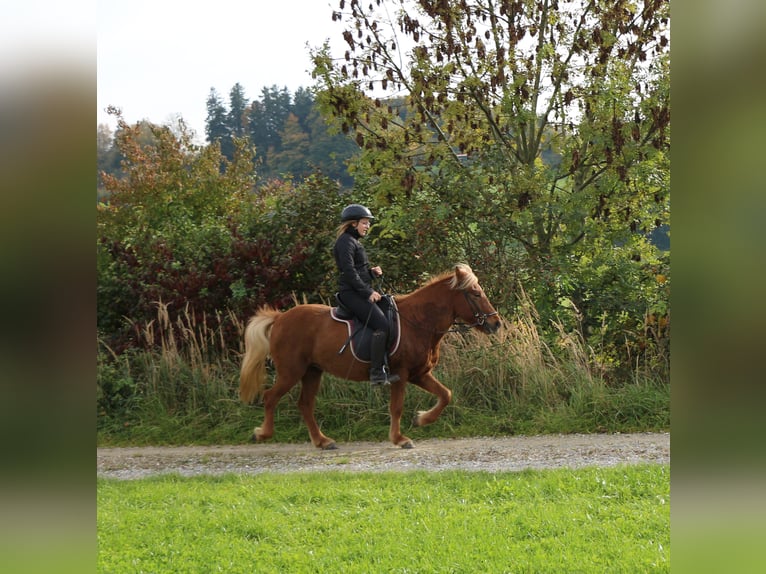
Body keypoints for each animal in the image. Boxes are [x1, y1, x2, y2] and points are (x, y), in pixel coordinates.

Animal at [239, 263, 502, 449]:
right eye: (475, 294)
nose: (496, 323)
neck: (417, 320)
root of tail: (279, 318)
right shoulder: (401, 374)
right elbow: (397, 407)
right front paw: (400, 439)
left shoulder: (419, 374)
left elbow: (446, 394)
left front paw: (421, 420)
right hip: (291, 371)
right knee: (270, 397)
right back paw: (262, 434)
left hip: (312, 371)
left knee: (305, 404)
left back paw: (323, 441)